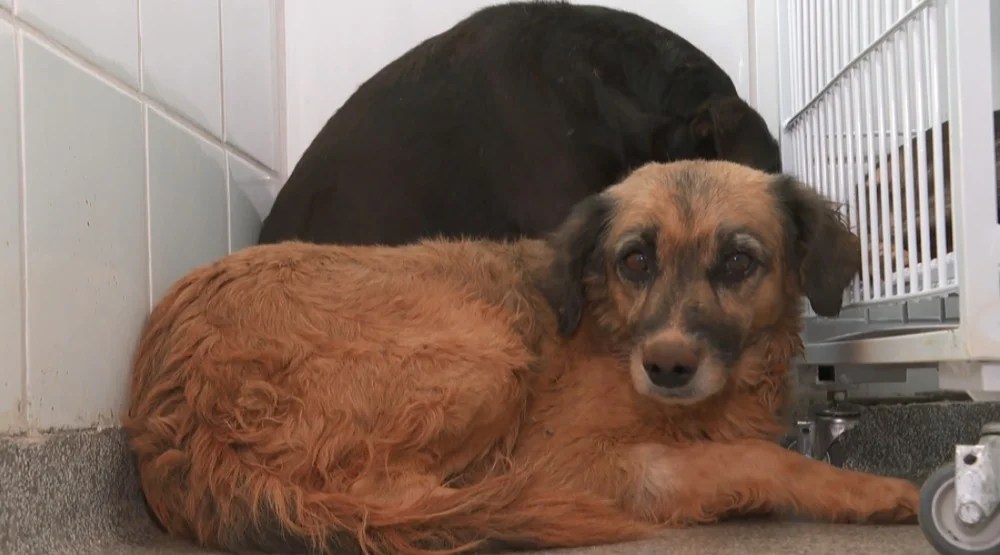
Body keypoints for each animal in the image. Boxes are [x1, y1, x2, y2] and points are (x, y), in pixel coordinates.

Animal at [125, 161, 917, 555]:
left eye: (737, 262)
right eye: (635, 259)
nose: (666, 367)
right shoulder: (570, 456)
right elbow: (758, 456)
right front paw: (866, 489)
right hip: (484, 355)